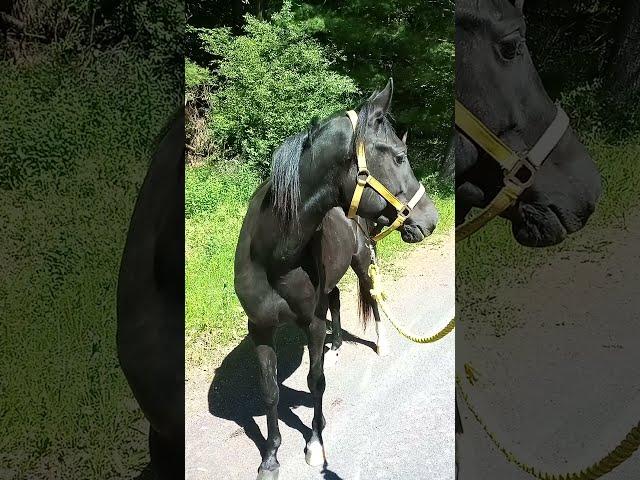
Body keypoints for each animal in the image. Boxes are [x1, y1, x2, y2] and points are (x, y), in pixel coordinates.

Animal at [235, 79, 440, 480]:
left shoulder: (311, 324)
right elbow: (270, 392)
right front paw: (271, 456)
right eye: (398, 157)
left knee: (372, 299)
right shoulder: (260, 328)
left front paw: (315, 444)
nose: (430, 219)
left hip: (363, 263)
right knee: (336, 301)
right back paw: (338, 344)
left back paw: (379, 343)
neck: (273, 255)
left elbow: (315, 381)